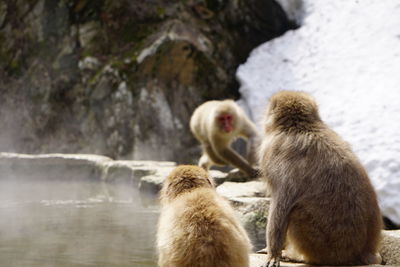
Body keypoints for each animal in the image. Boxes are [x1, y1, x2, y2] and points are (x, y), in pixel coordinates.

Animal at [258, 91, 382, 267]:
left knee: (295, 212)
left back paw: (298, 256)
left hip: (325, 248)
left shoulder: (272, 152)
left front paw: (273, 255)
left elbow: (281, 206)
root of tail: (362, 253)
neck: (299, 126)